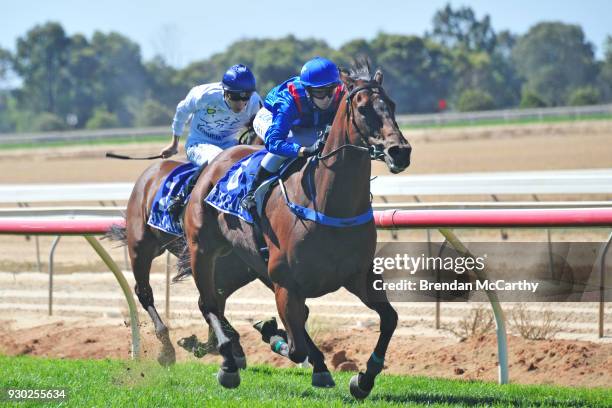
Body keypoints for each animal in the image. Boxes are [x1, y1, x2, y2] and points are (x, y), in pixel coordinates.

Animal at [183, 60, 412, 398]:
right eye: (363, 108)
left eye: (392, 105)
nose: (400, 151)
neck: (330, 205)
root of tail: (215, 162)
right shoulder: (287, 284)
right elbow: (295, 347)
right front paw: (273, 335)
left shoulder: (358, 276)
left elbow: (390, 319)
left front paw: (363, 378)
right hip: (204, 250)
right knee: (209, 303)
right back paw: (229, 365)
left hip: (242, 264)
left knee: (219, 302)